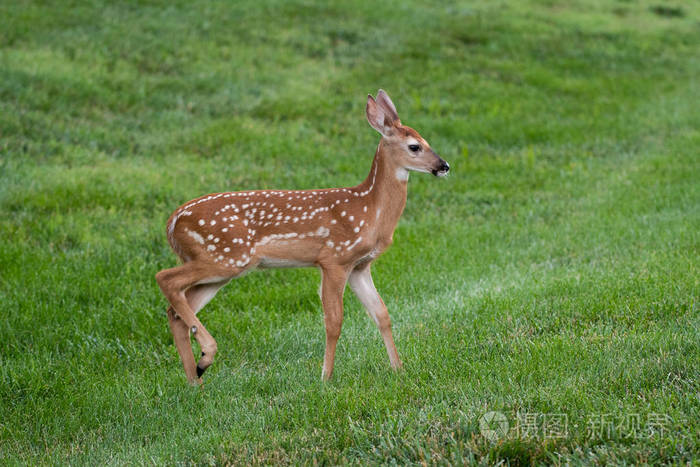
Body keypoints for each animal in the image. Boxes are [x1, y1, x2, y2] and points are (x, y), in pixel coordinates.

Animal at [156, 90, 450, 384]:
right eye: (415, 146)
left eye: (426, 140)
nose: (444, 166)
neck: (369, 210)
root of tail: (172, 222)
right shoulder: (334, 258)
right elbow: (334, 322)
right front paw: (326, 377)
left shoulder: (359, 266)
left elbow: (381, 314)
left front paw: (398, 368)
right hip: (225, 256)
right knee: (166, 278)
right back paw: (206, 356)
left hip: (221, 269)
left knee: (176, 311)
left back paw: (195, 379)